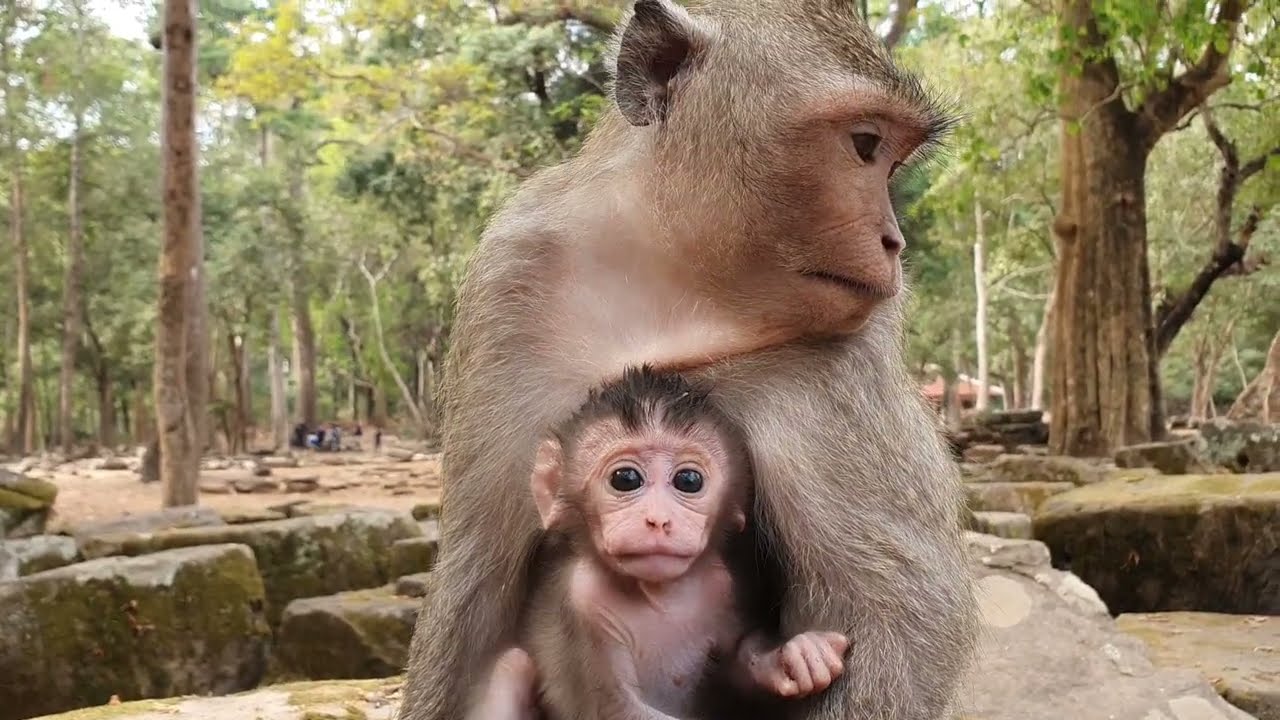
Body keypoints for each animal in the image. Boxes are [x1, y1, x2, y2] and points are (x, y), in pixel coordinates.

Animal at [475, 366, 849, 720]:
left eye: (689, 481)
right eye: (625, 479)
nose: (658, 520)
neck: (657, 598)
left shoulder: (720, 588)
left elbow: (735, 666)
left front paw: (796, 657)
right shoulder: (581, 602)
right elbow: (615, 710)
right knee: (513, 665)